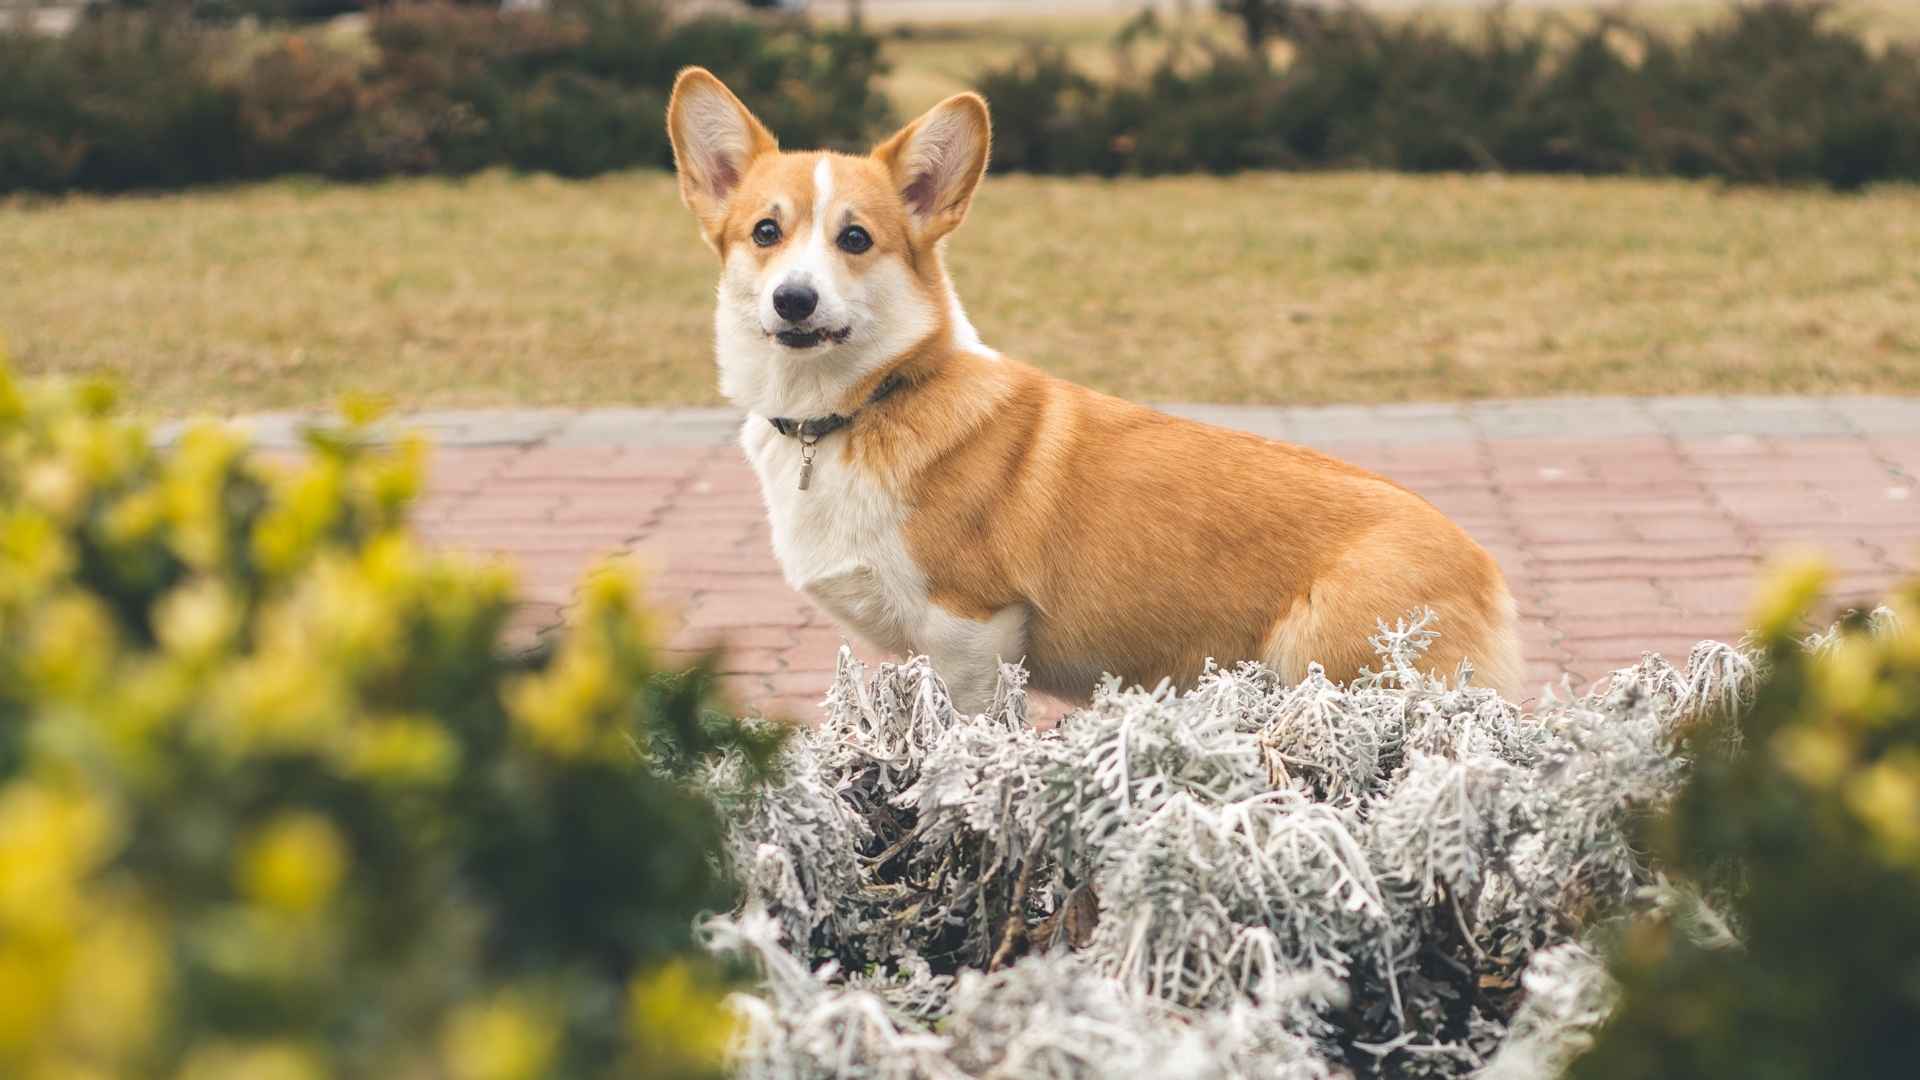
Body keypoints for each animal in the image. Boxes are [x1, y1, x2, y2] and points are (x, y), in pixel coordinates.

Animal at [668, 65, 1520, 707]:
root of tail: (1488, 569)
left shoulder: (969, 629)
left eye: (855, 239)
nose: (795, 300)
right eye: (766, 232)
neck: (862, 406)